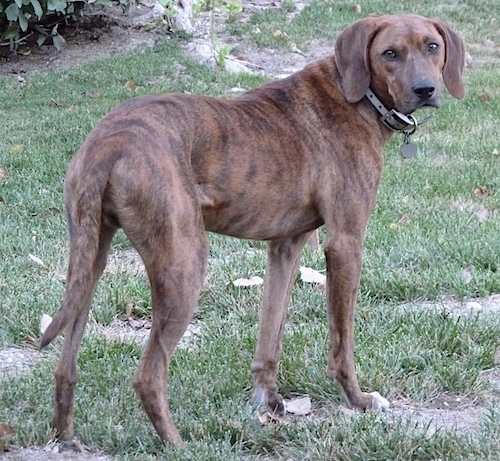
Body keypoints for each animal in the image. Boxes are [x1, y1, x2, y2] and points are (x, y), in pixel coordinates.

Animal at [41, 14, 466, 446]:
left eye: (432, 46)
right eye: (389, 53)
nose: (426, 90)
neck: (357, 94)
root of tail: (109, 145)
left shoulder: (285, 245)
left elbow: (270, 334)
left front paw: (269, 402)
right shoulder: (346, 243)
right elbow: (342, 342)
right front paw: (358, 401)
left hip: (89, 261)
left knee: (65, 364)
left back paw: (65, 436)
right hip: (184, 264)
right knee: (148, 375)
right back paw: (178, 443)